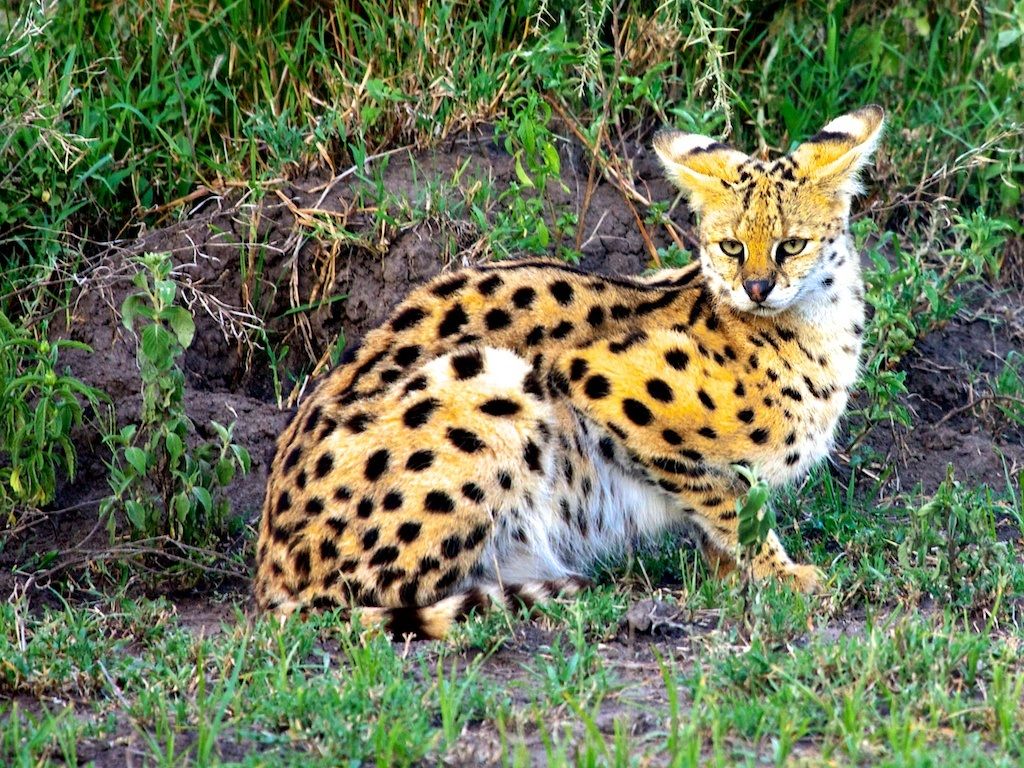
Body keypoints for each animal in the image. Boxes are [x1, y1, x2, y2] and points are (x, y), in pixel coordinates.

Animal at [254, 105, 884, 639]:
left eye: (791, 246)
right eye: (731, 247)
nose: (756, 287)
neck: (812, 329)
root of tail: (268, 573)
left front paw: (738, 576)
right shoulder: (593, 377)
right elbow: (728, 501)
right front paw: (783, 575)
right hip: (493, 378)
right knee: (365, 600)